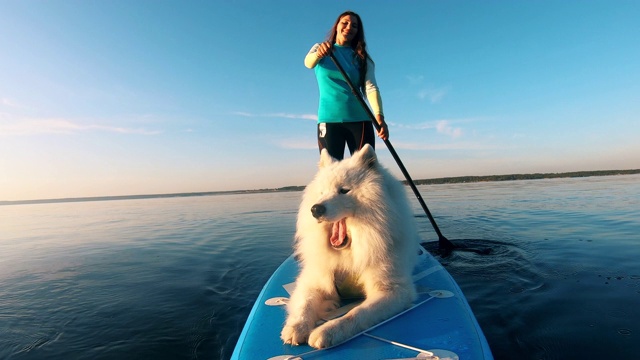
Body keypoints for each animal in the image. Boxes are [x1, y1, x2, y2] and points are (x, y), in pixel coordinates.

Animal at [282, 143, 420, 348]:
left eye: (344, 190)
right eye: (322, 192)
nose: (315, 209)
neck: (348, 253)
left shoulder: (394, 290)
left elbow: (356, 313)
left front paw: (327, 332)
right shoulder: (314, 279)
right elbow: (305, 303)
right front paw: (296, 327)